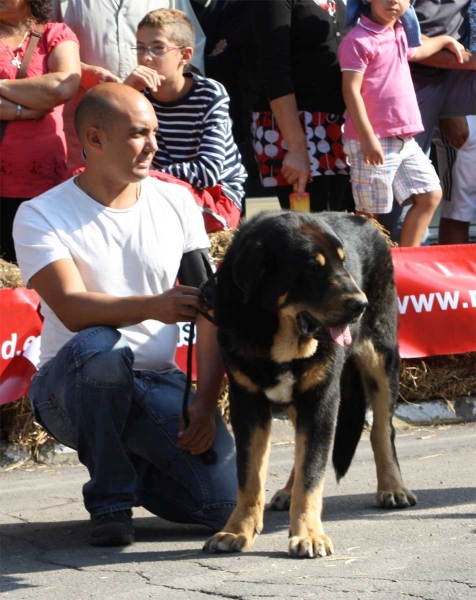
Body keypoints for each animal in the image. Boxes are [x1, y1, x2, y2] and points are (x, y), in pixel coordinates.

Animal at [205, 210, 416, 556]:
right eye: (312, 268)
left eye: (343, 263)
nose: (360, 303)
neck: (273, 333)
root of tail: (365, 220)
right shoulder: (247, 402)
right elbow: (250, 475)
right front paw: (237, 530)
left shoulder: (321, 400)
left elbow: (311, 473)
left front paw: (308, 535)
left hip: (381, 358)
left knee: (382, 430)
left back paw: (393, 487)